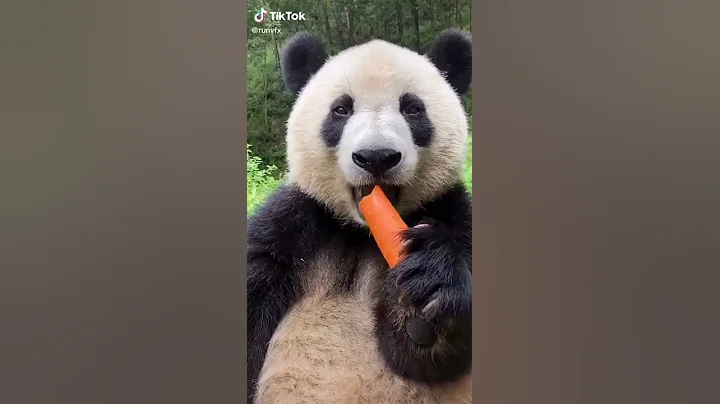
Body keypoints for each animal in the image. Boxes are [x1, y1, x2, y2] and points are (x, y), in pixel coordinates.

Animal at [248, 29, 472, 404]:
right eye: (341, 109)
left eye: (413, 109)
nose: (376, 156)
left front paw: (430, 285)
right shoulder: (293, 224)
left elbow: (427, 355)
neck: (361, 233)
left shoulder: (452, 211)